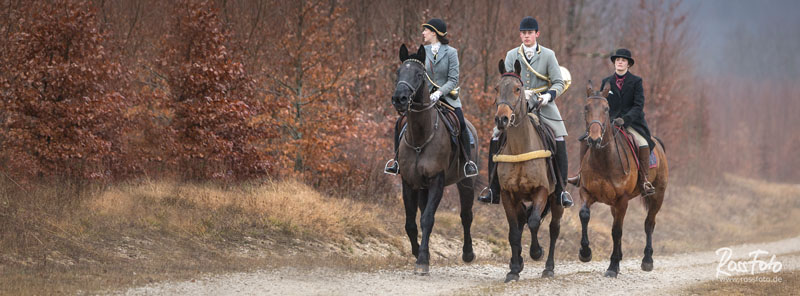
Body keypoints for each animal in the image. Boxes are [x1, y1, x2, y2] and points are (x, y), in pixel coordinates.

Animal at [390, 44, 478, 276]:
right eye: (398, 72)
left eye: (419, 74)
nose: (399, 99)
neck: (421, 138)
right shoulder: (409, 183)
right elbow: (411, 223)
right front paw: (418, 253)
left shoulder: (437, 180)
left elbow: (427, 219)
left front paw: (422, 261)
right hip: (422, 187)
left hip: (466, 182)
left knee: (466, 215)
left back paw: (468, 254)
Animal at [494, 59, 564, 282]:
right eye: (497, 88)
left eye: (518, 88)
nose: (502, 120)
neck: (519, 149)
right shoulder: (508, 194)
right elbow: (514, 231)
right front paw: (514, 269)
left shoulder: (541, 191)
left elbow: (534, 222)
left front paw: (536, 252)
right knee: (522, 220)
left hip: (556, 200)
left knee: (553, 228)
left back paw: (548, 267)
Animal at [576, 82, 668, 278]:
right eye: (586, 107)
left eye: (606, 109)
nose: (594, 139)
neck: (603, 159)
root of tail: (657, 143)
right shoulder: (586, 192)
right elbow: (585, 214)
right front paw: (585, 253)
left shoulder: (622, 199)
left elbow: (616, 231)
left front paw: (612, 267)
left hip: (657, 196)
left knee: (649, 223)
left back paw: (647, 260)